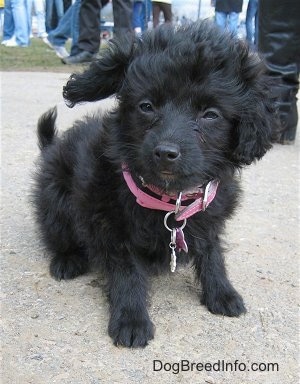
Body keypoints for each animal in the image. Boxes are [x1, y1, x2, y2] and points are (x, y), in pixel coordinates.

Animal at [32, 21, 276, 348]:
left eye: (210, 114)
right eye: (146, 106)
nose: (166, 152)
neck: (169, 199)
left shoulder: (210, 217)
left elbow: (212, 253)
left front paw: (222, 291)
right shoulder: (111, 227)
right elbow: (128, 274)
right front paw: (131, 319)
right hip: (55, 199)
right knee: (56, 233)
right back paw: (67, 259)